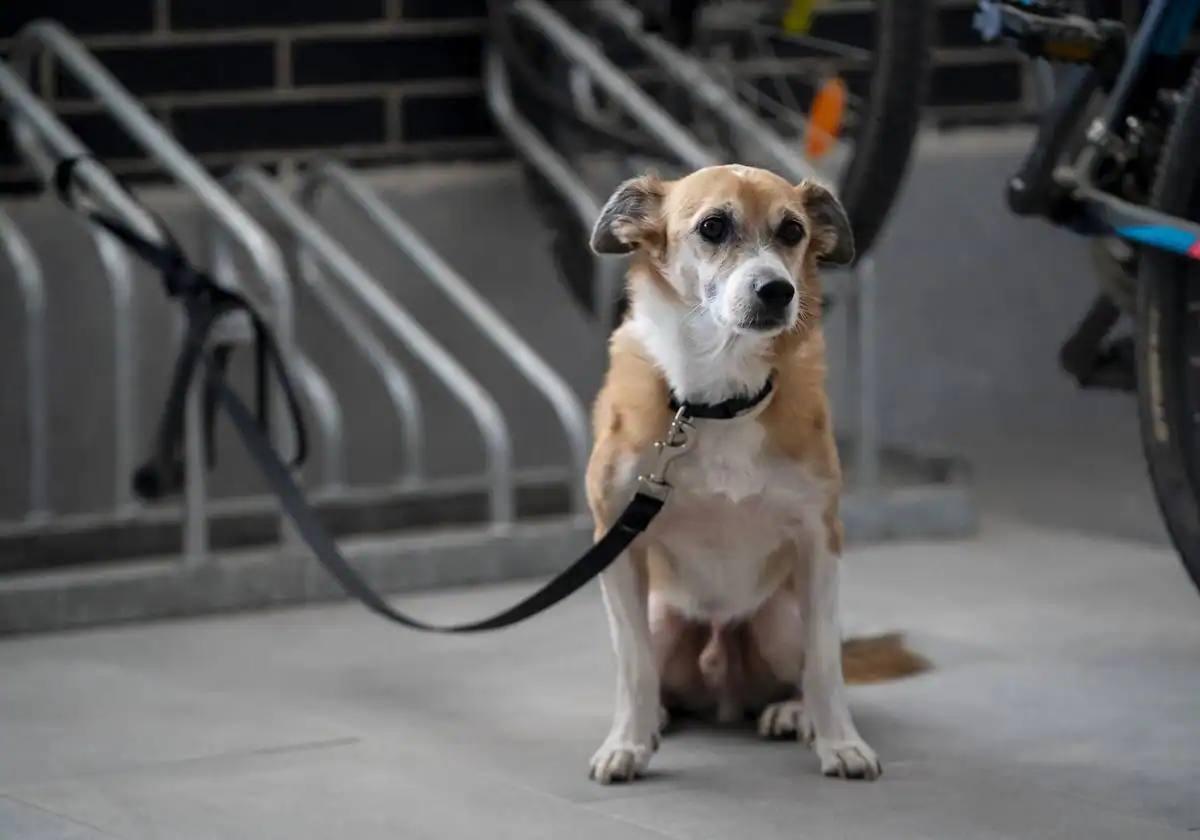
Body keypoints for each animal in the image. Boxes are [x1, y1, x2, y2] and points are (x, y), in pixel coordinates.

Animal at [583, 165, 916, 787]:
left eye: (793, 231)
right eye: (713, 227)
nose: (777, 291)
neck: (715, 401)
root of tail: (723, 690)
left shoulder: (819, 541)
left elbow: (826, 664)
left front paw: (841, 743)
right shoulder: (616, 541)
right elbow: (632, 666)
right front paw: (626, 744)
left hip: (779, 620)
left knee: (803, 667)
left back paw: (793, 713)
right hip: (662, 617)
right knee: (655, 673)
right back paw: (656, 718)